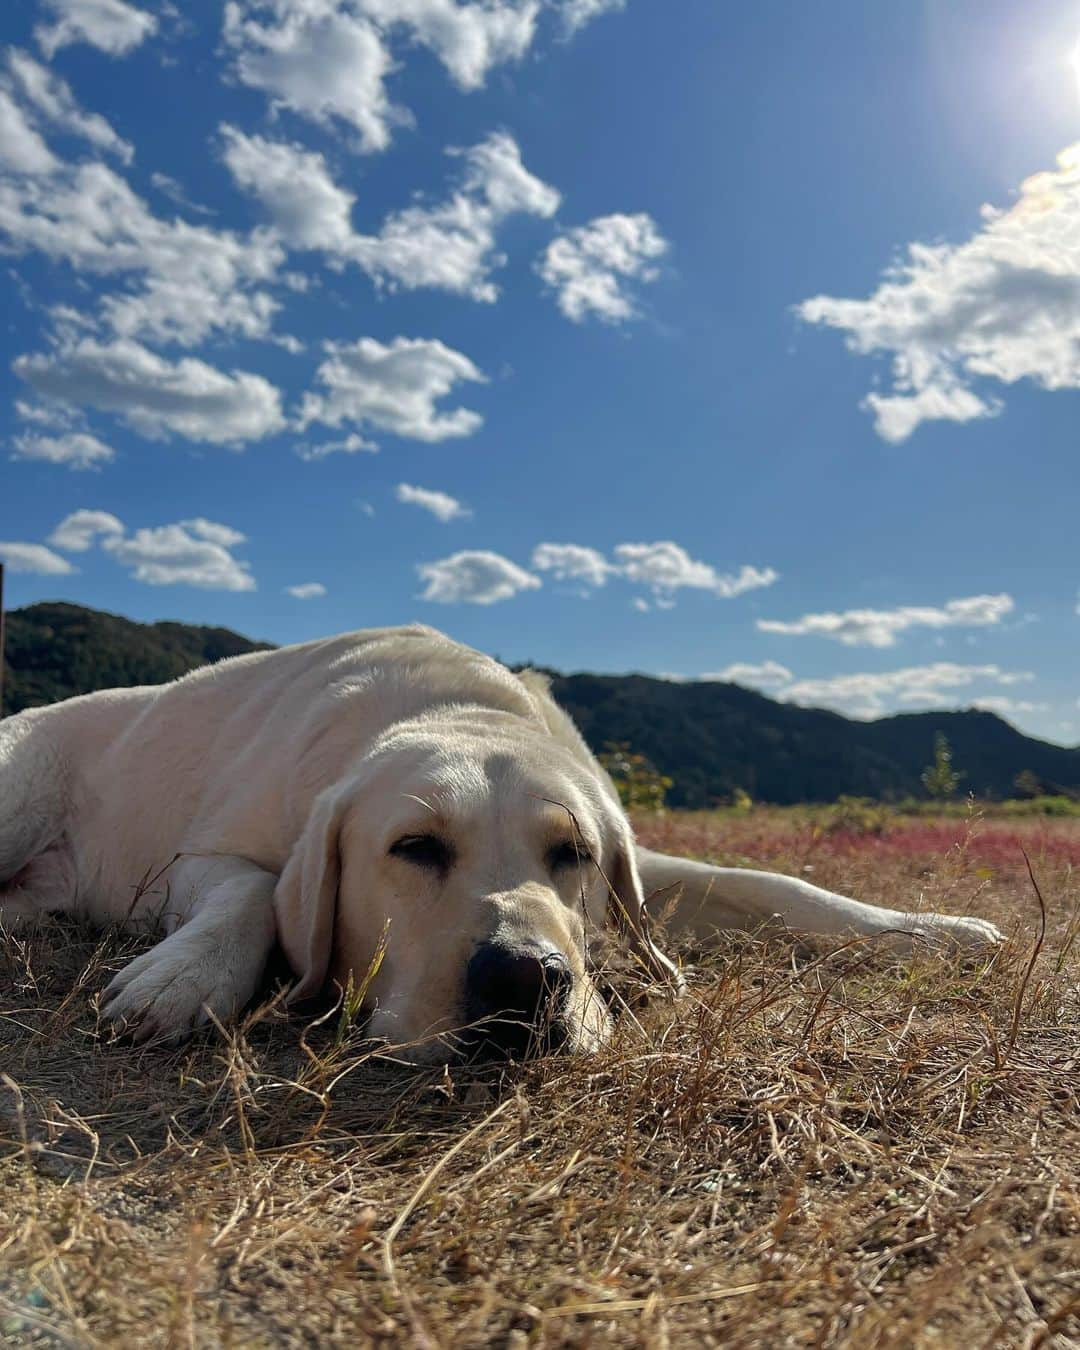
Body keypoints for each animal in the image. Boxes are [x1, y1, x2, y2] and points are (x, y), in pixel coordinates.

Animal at [0, 621, 1004, 1053]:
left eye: (574, 855)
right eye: (413, 849)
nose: (525, 978)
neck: (449, 706)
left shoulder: (638, 861)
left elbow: (776, 884)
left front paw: (934, 930)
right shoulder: (201, 854)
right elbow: (251, 888)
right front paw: (182, 977)